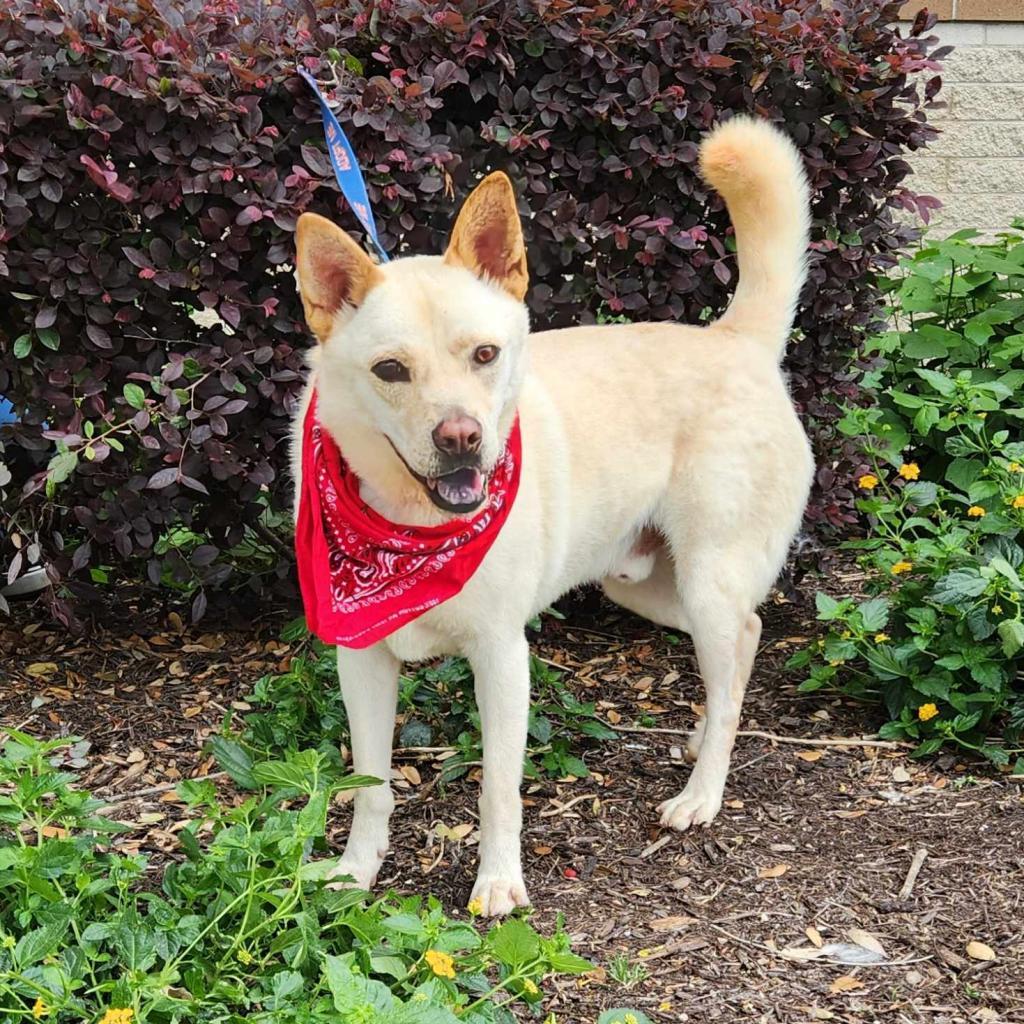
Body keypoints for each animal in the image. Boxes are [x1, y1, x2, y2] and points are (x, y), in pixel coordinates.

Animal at [292, 116, 811, 917]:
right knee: (742, 647)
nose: (462, 438)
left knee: (738, 654)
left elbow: (499, 790)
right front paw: (356, 871)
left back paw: (701, 794)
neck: (409, 531)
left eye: (485, 354)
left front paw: (499, 882)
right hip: (648, 588)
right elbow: (371, 784)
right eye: (390, 370)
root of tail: (736, 339)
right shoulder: (362, 660)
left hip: (706, 579)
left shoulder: (502, 656)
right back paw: (700, 740)